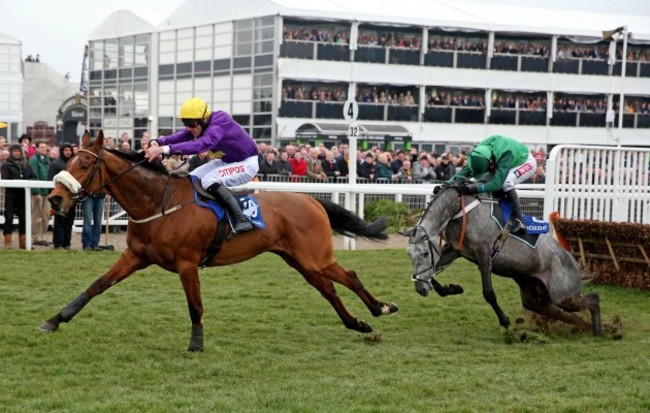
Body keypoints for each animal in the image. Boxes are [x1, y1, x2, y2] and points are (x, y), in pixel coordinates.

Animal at [40, 130, 398, 350]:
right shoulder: (135, 257)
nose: (55, 199)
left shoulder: (186, 264)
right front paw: (55, 319)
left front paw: (196, 343)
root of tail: (312, 200)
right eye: (68, 159)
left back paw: (381, 307)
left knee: (349, 276)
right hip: (300, 261)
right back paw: (357, 324)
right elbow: (96, 286)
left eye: (86, 163)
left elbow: (194, 305)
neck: (157, 202)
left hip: (315, 256)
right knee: (328, 289)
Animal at [402, 187, 600, 334]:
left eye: (424, 254)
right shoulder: (456, 250)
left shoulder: (483, 253)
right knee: (560, 312)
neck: (459, 208)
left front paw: (505, 321)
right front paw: (451, 288)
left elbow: (488, 293)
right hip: (534, 296)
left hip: (563, 294)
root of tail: (572, 260)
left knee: (592, 299)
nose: (420, 289)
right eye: (409, 255)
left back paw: (598, 331)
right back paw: (586, 327)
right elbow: (433, 274)